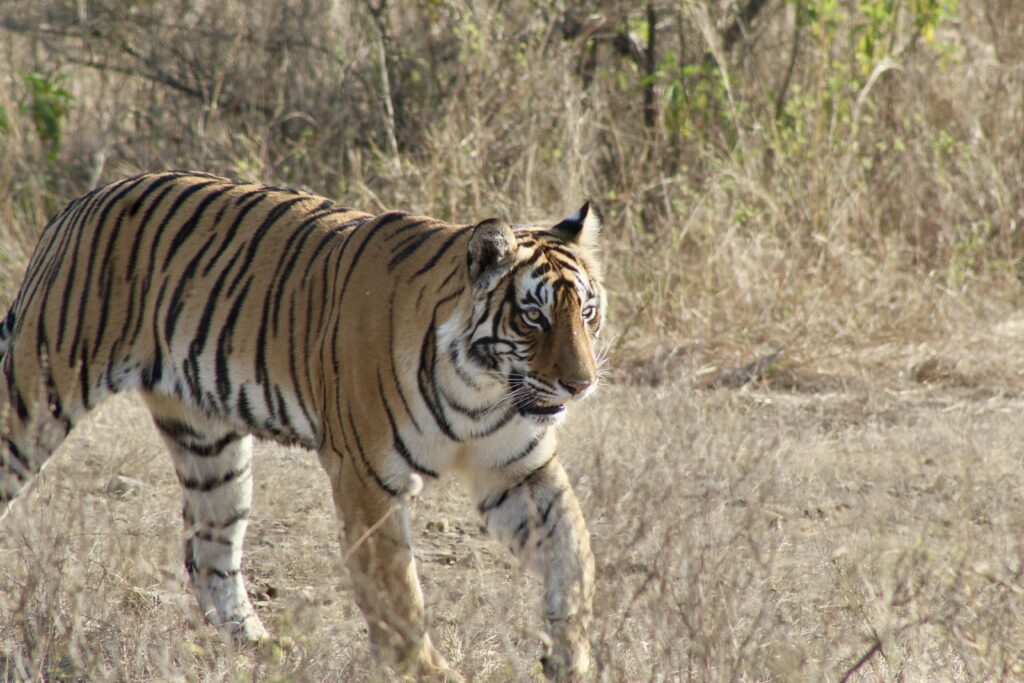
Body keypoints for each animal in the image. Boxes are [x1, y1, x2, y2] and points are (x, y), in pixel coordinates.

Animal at [0, 171, 604, 681]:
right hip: (38, 396)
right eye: (534, 316)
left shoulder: (517, 471)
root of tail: (81, 201)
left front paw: (570, 657)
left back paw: (263, 649)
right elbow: (397, 589)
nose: (581, 384)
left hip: (210, 446)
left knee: (207, 552)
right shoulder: (368, 479)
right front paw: (426, 672)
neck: (481, 391)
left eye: (587, 313)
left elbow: (573, 552)